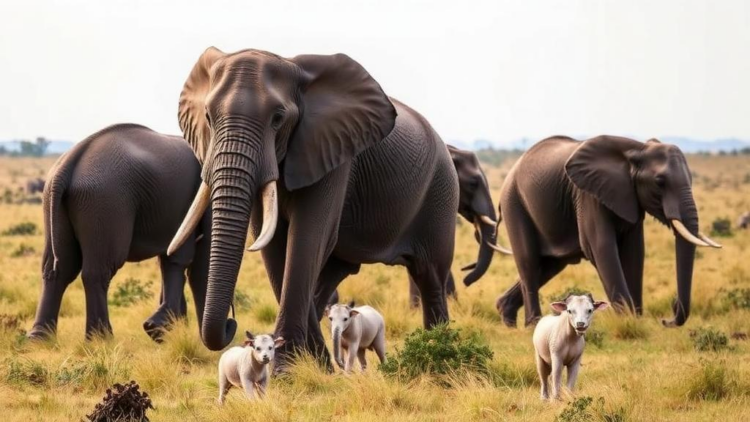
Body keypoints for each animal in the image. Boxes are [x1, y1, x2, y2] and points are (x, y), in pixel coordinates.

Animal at [28, 123, 210, 341]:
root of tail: (67, 166)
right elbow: (190, 260)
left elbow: (172, 259)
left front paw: (171, 332)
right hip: (104, 202)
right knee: (98, 270)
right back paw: (100, 339)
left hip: (55, 201)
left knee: (58, 269)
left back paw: (40, 340)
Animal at [168, 47, 459, 366]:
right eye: (208, 116)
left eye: (278, 118)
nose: (232, 323)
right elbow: (274, 246)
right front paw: (309, 362)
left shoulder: (333, 151)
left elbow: (306, 238)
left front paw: (286, 366)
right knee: (334, 271)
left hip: (441, 192)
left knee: (430, 275)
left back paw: (437, 353)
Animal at [492, 135, 721, 328]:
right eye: (659, 182)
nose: (668, 317)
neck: (636, 149)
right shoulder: (587, 196)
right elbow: (601, 248)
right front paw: (628, 319)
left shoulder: (631, 199)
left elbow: (634, 253)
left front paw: (637, 319)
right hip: (514, 203)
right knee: (529, 262)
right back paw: (533, 324)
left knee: (551, 265)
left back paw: (506, 315)